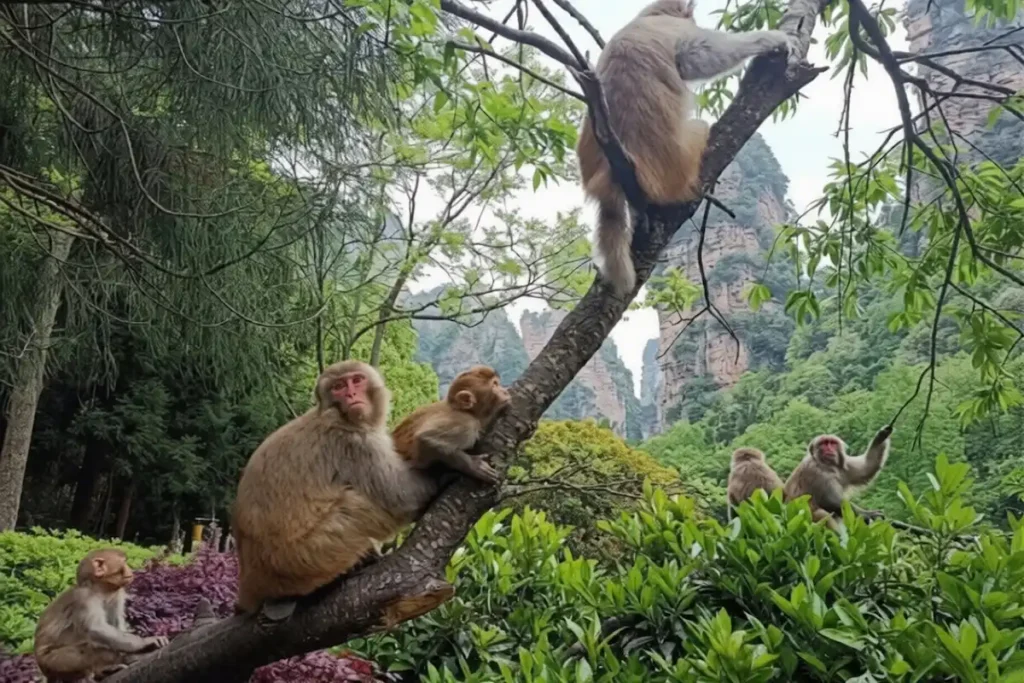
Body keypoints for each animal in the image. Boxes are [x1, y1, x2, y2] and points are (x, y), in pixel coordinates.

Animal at [33, 548, 168, 682]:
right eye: (123, 562)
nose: (130, 568)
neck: (100, 589)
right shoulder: (84, 597)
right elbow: (95, 628)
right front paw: (145, 642)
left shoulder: (116, 594)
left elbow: (115, 625)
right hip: (53, 661)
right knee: (89, 649)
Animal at [231, 360, 477, 622]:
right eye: (338, 387)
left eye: (356, 380)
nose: (351, 395)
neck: (338, 415)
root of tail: (249, 585)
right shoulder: (355, 443)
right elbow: (402, 498)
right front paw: (447, 471)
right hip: (303, 558)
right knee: (354, 505)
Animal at [576, 0, 797, 296]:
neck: (649, 16)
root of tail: (609, 174)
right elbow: (701, 54)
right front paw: (769, 39)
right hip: (681, 165)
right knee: (699, 126)